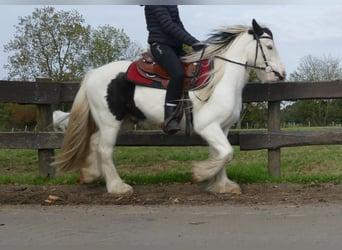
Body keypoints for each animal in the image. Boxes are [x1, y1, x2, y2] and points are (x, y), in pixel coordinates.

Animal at [54, 20, 286, 195]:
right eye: (269, 47)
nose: (281, 74)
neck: (219, 80)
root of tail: (92, 73)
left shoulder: (223, 127)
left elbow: (220, 154)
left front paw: (221, 185)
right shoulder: (207, 126)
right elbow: (226, 153)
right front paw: (201, 173)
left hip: (123, 120)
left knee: (94, 142)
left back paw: (90, 175)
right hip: (110, 121)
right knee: (104, 149)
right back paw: (118, 187)